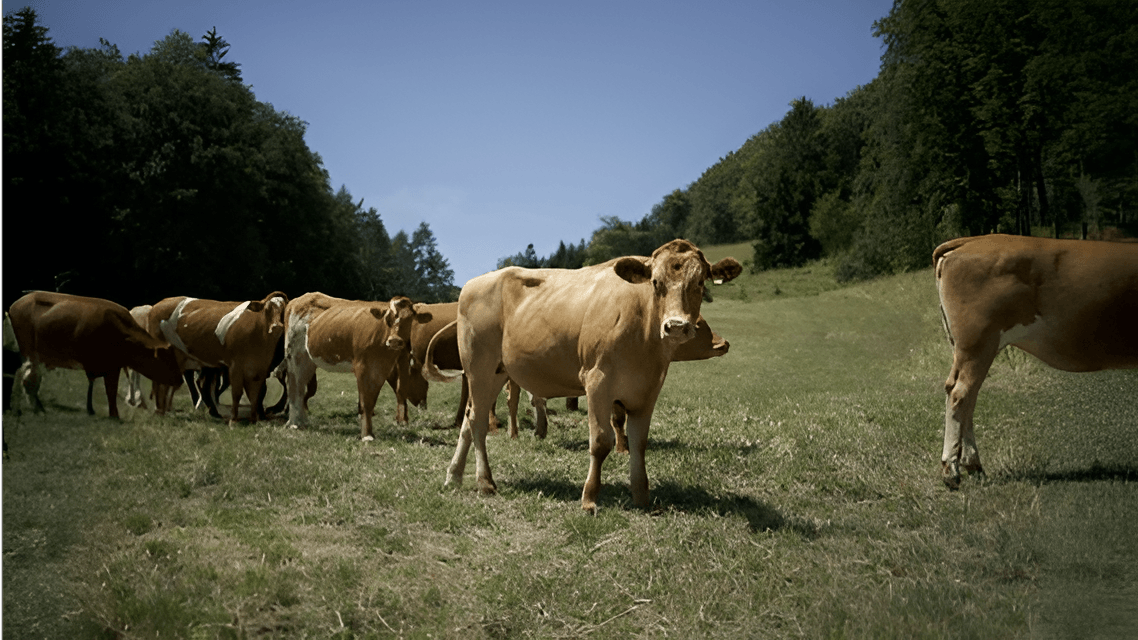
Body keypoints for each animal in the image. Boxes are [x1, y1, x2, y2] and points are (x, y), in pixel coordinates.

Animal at [8, 291, 184, 418]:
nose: (180, 380)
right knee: (24, 377)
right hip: (29, 353)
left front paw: (100, 412)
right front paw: (113, 415)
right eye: (166, 360)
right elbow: (109, 389)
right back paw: (25, 409)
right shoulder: (105, 365)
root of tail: (17, 303)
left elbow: (105, 388)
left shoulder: (111, 365)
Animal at [147, 292, 288, 424]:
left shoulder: (261, 368)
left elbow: (258, 392)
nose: (276, 326)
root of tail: (157, 305)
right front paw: (243, 418)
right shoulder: (237, 366)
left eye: (284, 312)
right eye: (267, 310)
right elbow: (242, 392)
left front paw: (258, 416)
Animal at [283, 292, 425, 440]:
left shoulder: (381, 370)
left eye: (409, 319)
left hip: (308, 360)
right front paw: (367, 436)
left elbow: (372, 400)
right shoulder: (362, 366)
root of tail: (299, 299)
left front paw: (369, 432)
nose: (395, 340)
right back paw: (293, 423)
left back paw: (302, 422)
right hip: (293, 355)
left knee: (300, 386)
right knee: (294, 386)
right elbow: (365, 401)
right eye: (388, 319)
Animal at [426, 239, 742, 512]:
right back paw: (485, 482)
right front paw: (589, 498)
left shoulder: (648, 389)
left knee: (469, 419)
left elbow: (639, 443)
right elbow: (601, 442)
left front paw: (642, 496)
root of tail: (473, 284)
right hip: (479, 367)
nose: (676, 326)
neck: (642, 332)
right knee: (478, 422)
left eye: (700, 282)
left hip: (496, 373)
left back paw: (454, 476)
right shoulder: (597, 381)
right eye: (655, 283)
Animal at [934, 234, 1138, 489]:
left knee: (966, 397)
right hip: (977, 343)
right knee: (960, 395)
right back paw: (951, 471)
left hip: (967, 348)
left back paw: (973, 466)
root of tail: (970, 241)